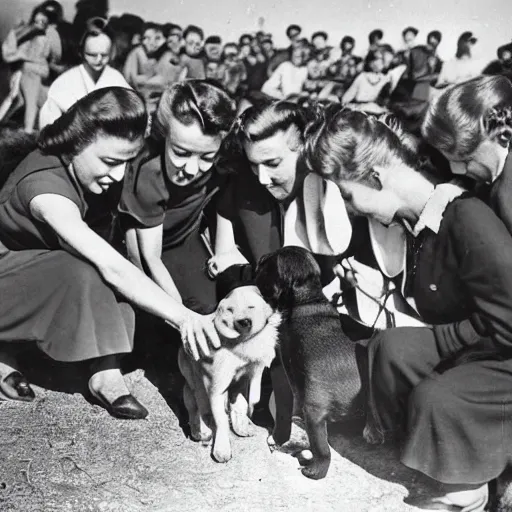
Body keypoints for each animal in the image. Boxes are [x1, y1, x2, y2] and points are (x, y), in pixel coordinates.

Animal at [176, 284, 280, 464]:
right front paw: (222, 449)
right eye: (230, 310)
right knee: (195, 406)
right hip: (192, 383)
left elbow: (241, 404)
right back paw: (200, 430)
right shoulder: (216, 388)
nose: (244, 321)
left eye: (251, 307)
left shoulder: (245, 378)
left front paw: (242, 426)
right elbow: (221, 420)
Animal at [255, 247, 364, 480]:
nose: (258, 260)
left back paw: (314, 469)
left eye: (267, 265)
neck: (307, 298)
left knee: (322, 450)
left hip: (313, 411)